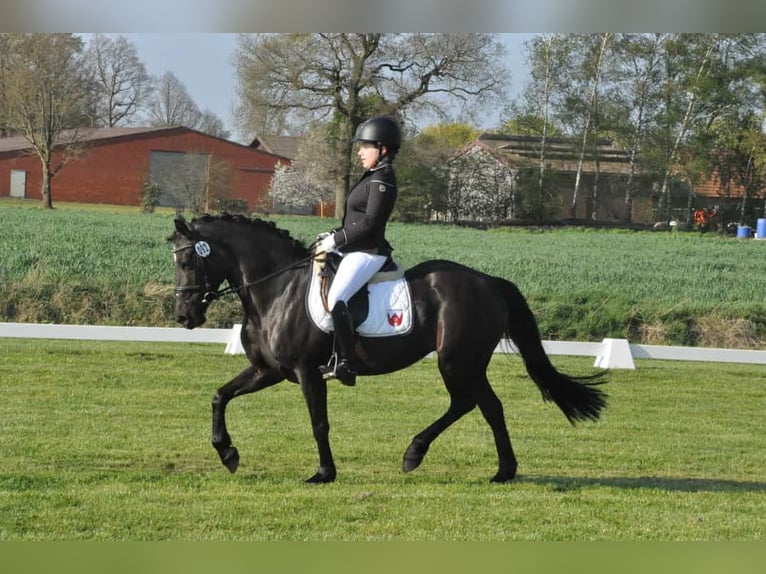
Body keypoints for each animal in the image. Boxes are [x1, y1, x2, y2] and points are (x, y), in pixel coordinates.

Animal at [171, 214, 608, 484]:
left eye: (189, 262)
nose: (183, 315)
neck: (277, 291)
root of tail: (489, 282)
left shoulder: (308, 372)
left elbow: (319, 423)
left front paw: (324, 473)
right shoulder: (269, 371)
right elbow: (219, 396)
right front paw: (227, 453)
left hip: (456, 360)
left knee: (469, 403)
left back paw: (416, 454)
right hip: (466, 362)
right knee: (487, 406)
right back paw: (502, 471)